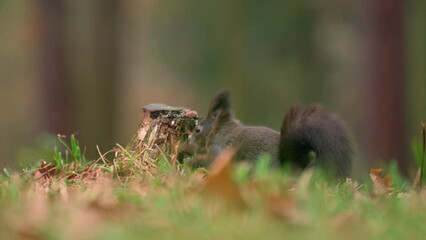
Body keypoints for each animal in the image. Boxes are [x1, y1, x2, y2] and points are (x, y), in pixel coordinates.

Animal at [186, 90, 352, 178]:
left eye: (197, 129)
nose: (189, 140)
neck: (219, 130)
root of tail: (289, 166)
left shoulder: (218, 149)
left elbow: (211, 161)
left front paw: (191, 161)